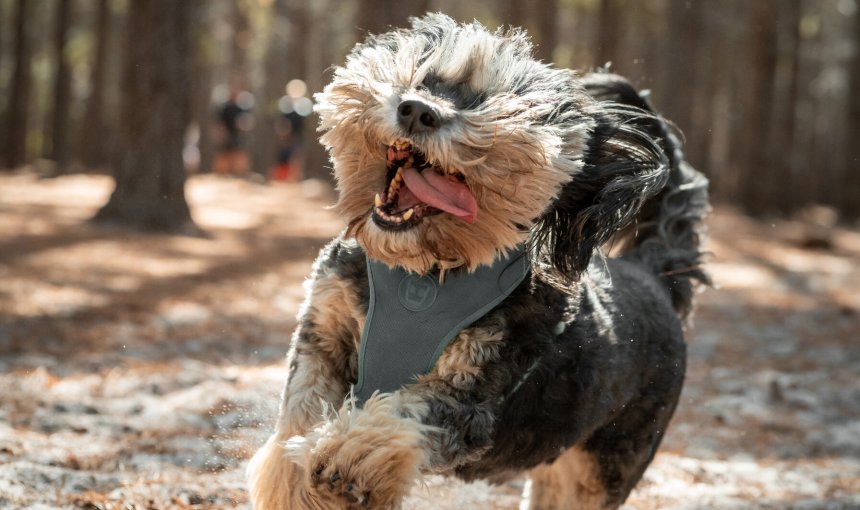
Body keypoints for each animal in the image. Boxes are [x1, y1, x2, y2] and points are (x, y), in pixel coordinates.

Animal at [245, 12, 708, 510]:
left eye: (491, 102)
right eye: (428, 78)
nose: (417, 110)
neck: (425, 271)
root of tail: (652, 275)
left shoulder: (472, 388)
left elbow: (404, 414)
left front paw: (345, 456)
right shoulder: (325, 333)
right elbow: (302, 406)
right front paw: (294, 475)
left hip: (605, 464)